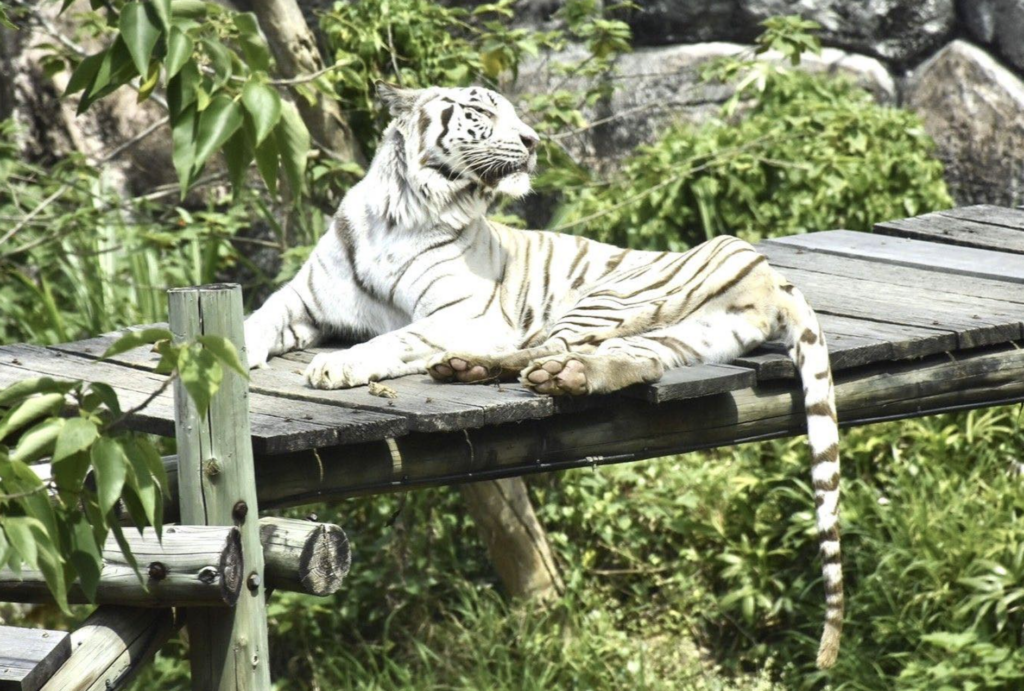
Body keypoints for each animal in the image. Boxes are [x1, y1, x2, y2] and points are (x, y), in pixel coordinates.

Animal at [243, 81, 844, 668]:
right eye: (481, 111)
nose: (533, 141)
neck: (403, 215)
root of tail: (774, 277)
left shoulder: (466, 314)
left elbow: (397, 338)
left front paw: (337, 363)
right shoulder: (303, 300)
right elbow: (254, 322)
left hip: (609, 297)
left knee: (535, 349)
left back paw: (480, 367)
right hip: (683, 334)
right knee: (625, 358)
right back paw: (550, 375)